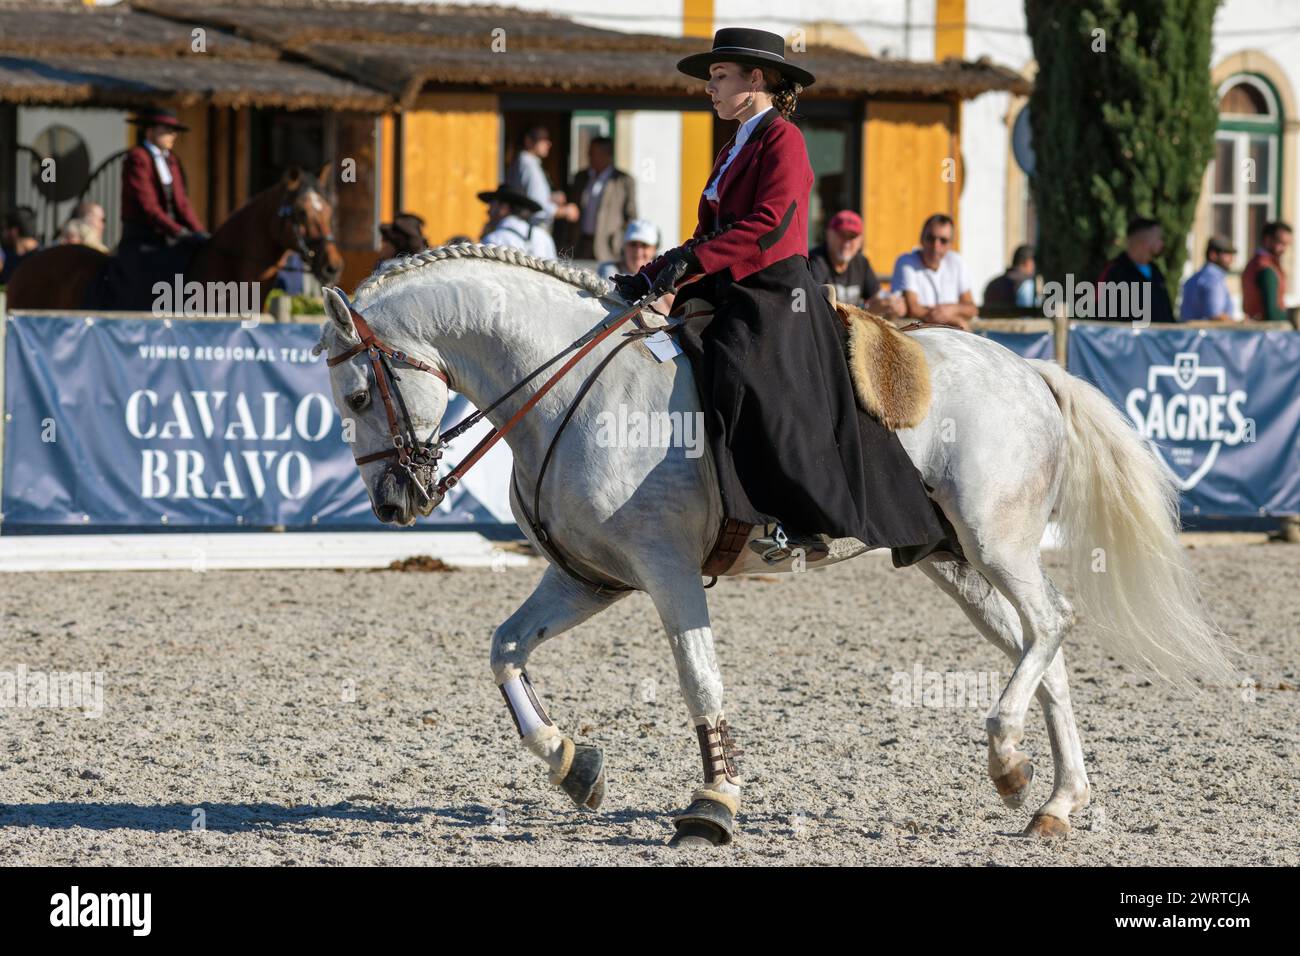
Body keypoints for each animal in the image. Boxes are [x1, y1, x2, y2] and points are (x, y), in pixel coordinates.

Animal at [314, 243, 1227, 848]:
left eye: (357, 394)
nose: (394, 503)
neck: (574, 388)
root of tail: (1031, 370)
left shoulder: (666, 571)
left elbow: (699, 678)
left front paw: (714, 803)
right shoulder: (590, 579)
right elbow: (504, 648)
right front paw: (572, 764)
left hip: (996, 542)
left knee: (1052, 624)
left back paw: (1008, 760)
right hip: (955, 563)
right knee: (1042, 649)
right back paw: (1053, 800)